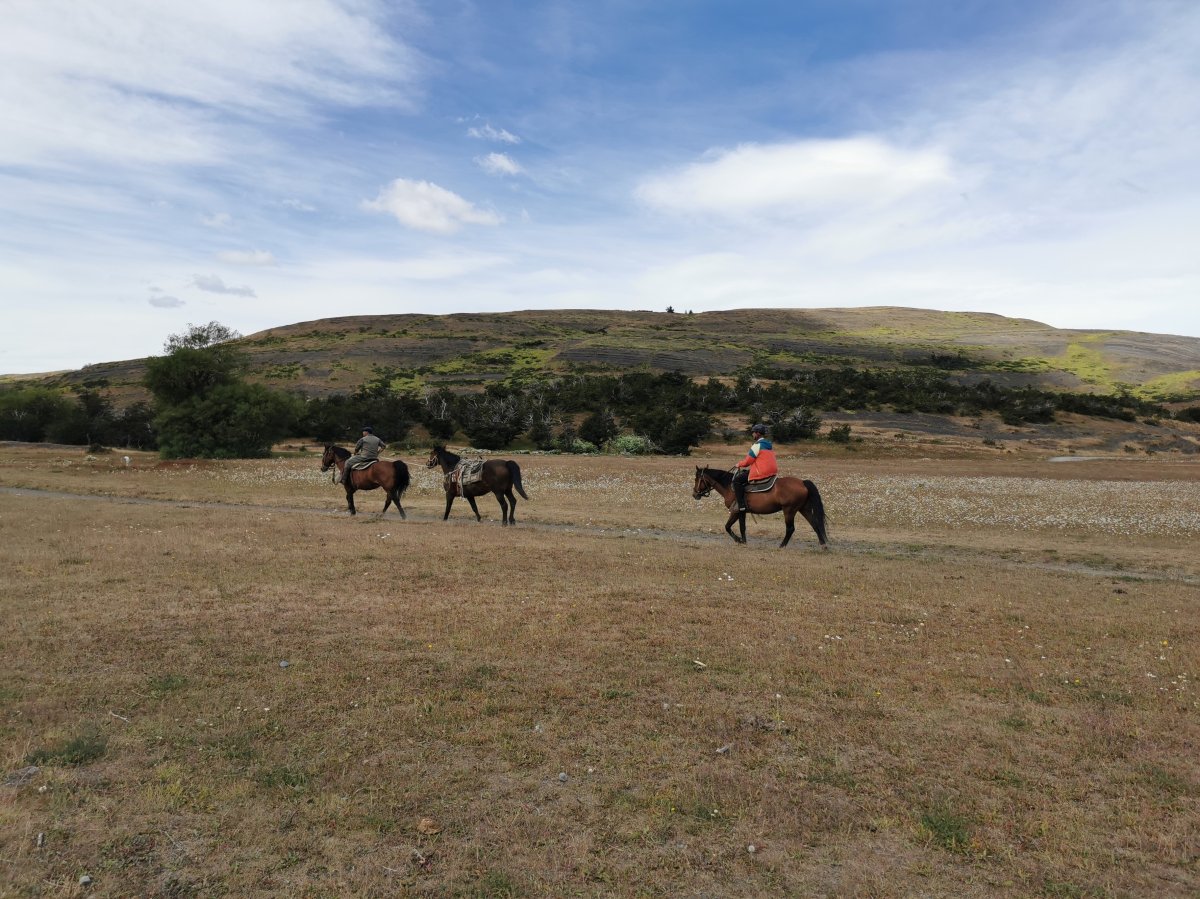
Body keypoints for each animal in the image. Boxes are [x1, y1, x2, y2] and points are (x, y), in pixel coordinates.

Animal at [692, 466, 828, 549]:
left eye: (696, 479)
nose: (694, 494)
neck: (729, 486)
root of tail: (802, 482)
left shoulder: (736, 511)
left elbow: (728, 527)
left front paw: (739, 540)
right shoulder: (742, 512)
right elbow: (742, 527)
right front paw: (743, 541)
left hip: (789, 510)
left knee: (790, 529)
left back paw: (782, 546)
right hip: (804, 509)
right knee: (815, 525)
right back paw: (823, 545)